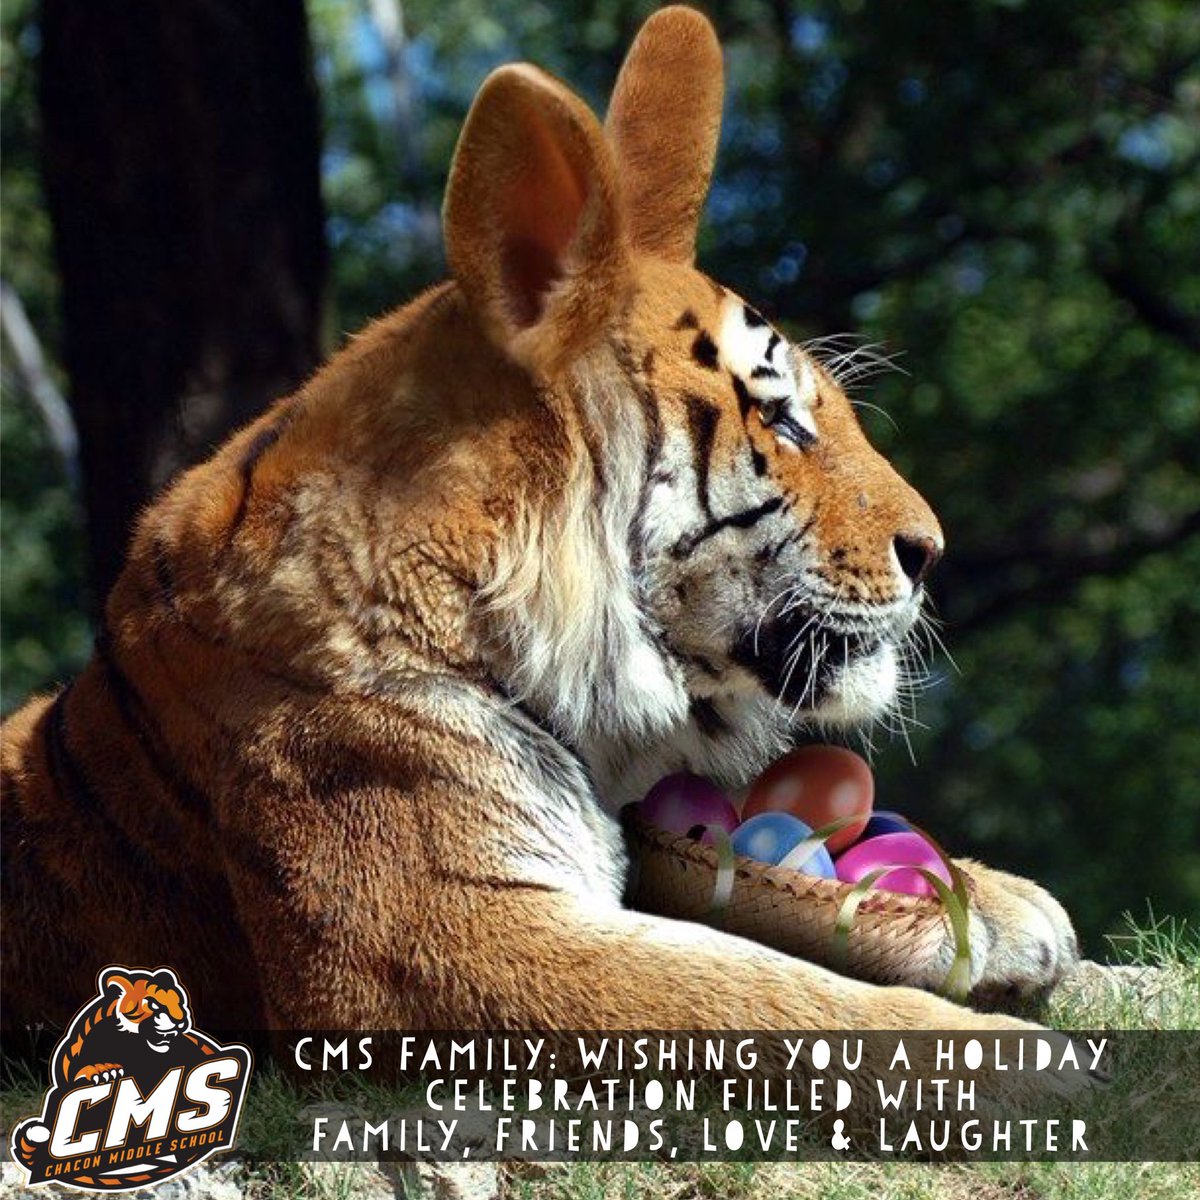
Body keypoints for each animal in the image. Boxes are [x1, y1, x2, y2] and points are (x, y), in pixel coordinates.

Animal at [2, 6, 1078, 1040]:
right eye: (780, 420)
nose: (931, 550)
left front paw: (1002, 906)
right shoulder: (437, 940)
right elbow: (761, 997)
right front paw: (1033, 1062)